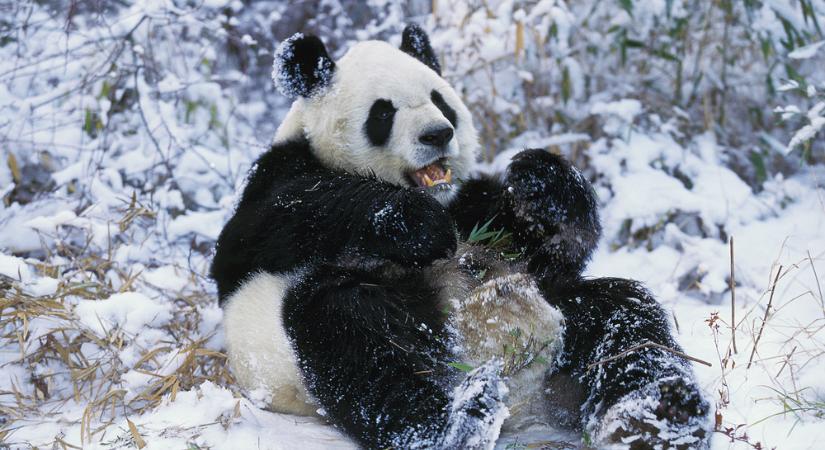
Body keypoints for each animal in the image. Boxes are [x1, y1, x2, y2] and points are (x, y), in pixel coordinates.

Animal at [211, 24, 709, 450]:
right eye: (383, 111)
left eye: (440, 99)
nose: (438, 134)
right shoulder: (275, 180)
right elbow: (278, 219)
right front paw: (413, 224)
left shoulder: (471, 206)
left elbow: (546, 248)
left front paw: (541, 182)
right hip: (298, 340)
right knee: (356, 345)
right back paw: (460, 423)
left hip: (569, 317)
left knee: (625, 320)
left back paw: (661, 415)